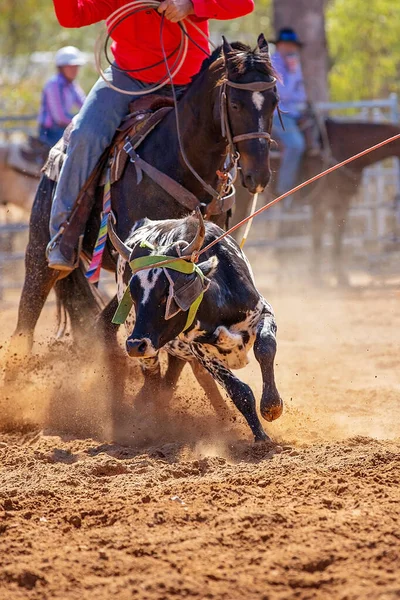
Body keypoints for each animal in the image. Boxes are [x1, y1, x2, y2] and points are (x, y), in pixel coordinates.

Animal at [7, 36, 280, 370]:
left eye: (274, 101)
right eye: (236, 103)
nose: (259, 174)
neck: (179, 160)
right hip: (40, 252)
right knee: (26, 321)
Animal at [108, 210, 282, 440]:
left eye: (166, 294)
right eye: (133, 295)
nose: (135, 345)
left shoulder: (263, 311)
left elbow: (266, 347)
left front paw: (271, 406)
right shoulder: (198, 348)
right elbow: (239, 390)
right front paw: (261, 437)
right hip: (144, 345)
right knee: (154, 379)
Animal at [231, 120, 400, 286]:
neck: (344, 147)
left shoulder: (342, 203)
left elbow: (338, 240)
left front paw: (342, 278)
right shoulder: (320, 203)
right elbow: (317, 239)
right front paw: (317, 278)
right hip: (241, 195)